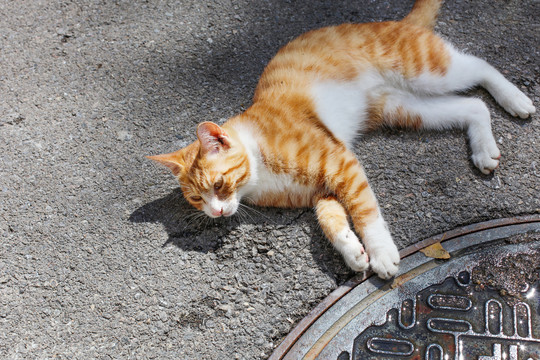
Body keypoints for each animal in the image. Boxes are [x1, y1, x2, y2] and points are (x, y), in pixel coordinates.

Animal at [148, 0, 536, 280]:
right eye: (197, 198)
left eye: (218, 184)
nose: (214, 211)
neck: (258, 168)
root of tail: (395, 21)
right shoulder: (323, 189)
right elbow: (332, 222)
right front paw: (353, 252)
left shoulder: (341, 164)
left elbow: (365, 212)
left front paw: (380, 253)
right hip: (407, 108)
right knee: (472, 106)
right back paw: (484, 149)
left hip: (428, 71)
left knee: (481, 65)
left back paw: (515, 99)